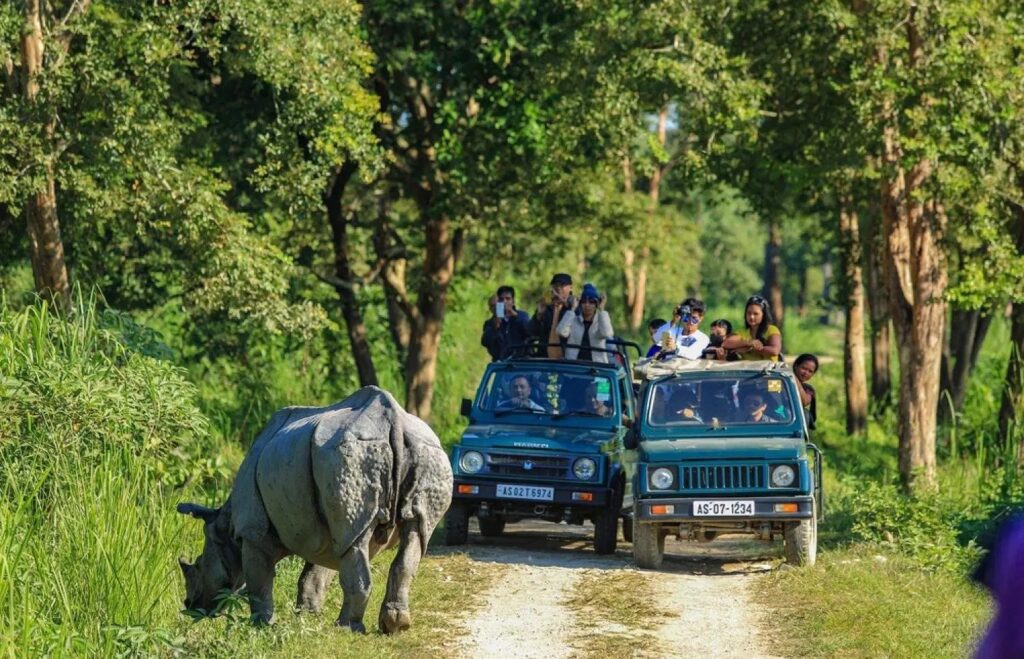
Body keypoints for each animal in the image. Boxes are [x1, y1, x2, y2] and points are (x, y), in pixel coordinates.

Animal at [176, 386, 453, 633]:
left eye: (198, 564)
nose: (189, 605)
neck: (226, 524)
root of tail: (394, 421)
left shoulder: (253, 532)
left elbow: (259, 583)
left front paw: (261, 626)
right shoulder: (326, 532)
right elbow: (317, 575)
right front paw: (308, 618)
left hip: (349, 458)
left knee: (357, 543)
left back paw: (347, 628)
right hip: (426, 454)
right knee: (413, 533)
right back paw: (396, 626)